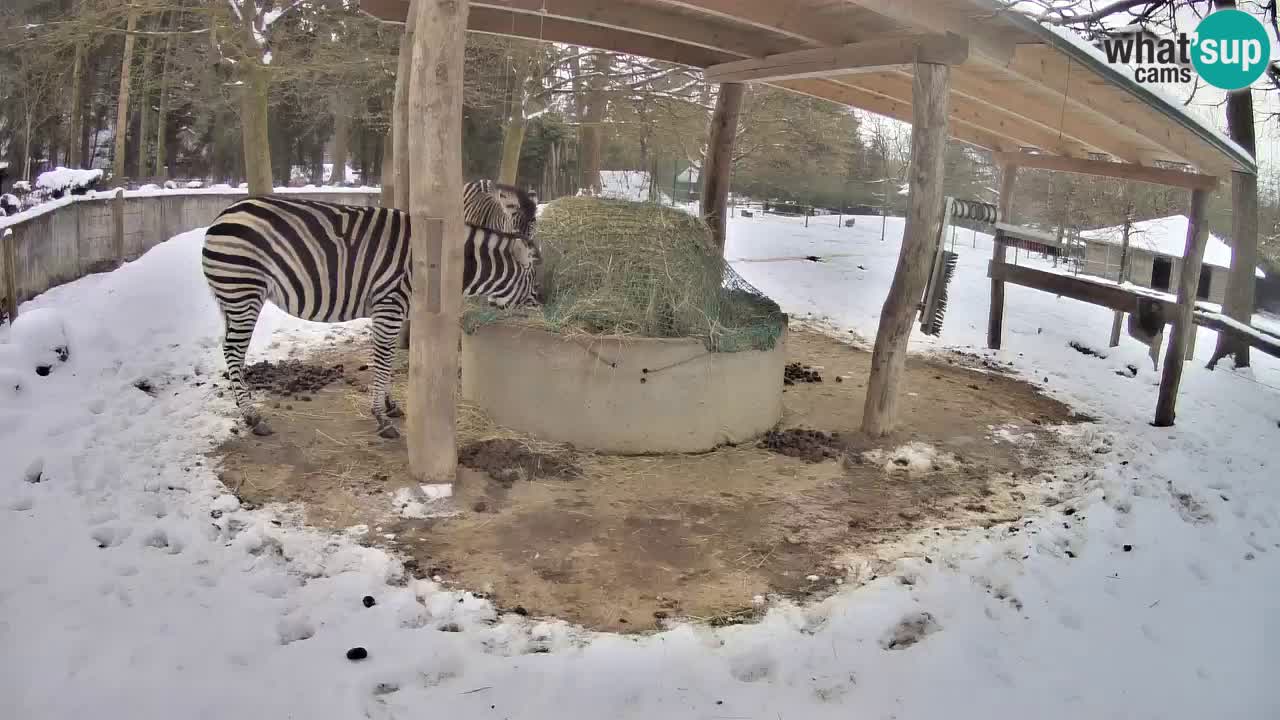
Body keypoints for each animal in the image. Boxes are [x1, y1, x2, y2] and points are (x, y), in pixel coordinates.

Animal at [201, 194, 541, 440]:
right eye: (535, 282)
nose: (543, 310)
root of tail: (222, 214)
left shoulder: (391, 311)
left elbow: (385, 362)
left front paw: (389, 406)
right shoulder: (389, 304)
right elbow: (383, 360)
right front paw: (381, 417)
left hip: (233, 297)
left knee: (230, 349)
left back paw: (244, 407)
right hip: (244, 290)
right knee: (233, 350)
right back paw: (253, 417)